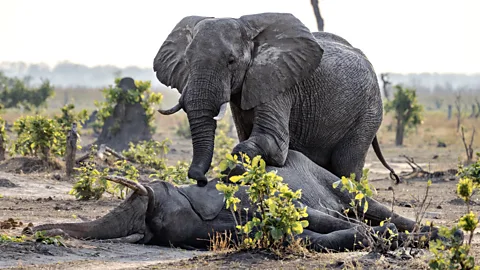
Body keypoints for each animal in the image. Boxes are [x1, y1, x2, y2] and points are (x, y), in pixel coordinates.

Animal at [154, 12, 398, 186]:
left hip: (369, 113)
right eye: (186, 61)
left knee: (346, 166)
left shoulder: (279, 82)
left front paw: (233, 170)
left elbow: (272, 142)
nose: (201, 180)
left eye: (231, 61)